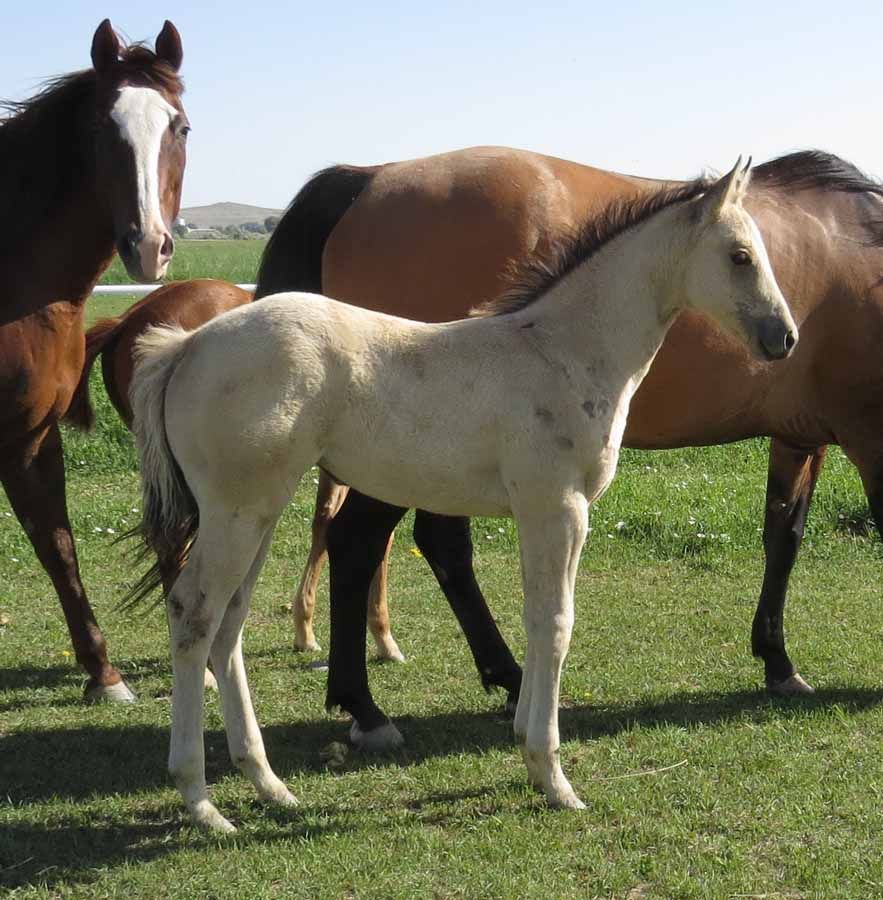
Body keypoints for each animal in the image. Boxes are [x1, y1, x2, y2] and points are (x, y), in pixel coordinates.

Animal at [0, 19, 187, 702]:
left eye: (179, 127)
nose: (149, 245)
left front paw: (103, 673)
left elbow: (57, 544)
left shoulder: (30, 436)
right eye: (101, 131)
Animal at [129, 161, 797, 829]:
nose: (785, 338)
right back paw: (201, 800)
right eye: (740, 255)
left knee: (229, 624)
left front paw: (529, 747)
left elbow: (539, 617)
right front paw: (552, 777)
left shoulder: (553, 514)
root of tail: (186, 347)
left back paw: (268, 784)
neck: (564, 352)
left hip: (257, 513)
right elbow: (555, 622)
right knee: (194, 613)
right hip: (236, 513)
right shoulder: (557, 509)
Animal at [252, 147, 883, 736]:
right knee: (360, 542)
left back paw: (490, 679)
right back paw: (369, 707)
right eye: (741, 256)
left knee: (427, 546)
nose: (785, 336)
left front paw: (777, 661)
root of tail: (368, 177)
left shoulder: (800, 437)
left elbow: (783, 536)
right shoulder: (865, 434)